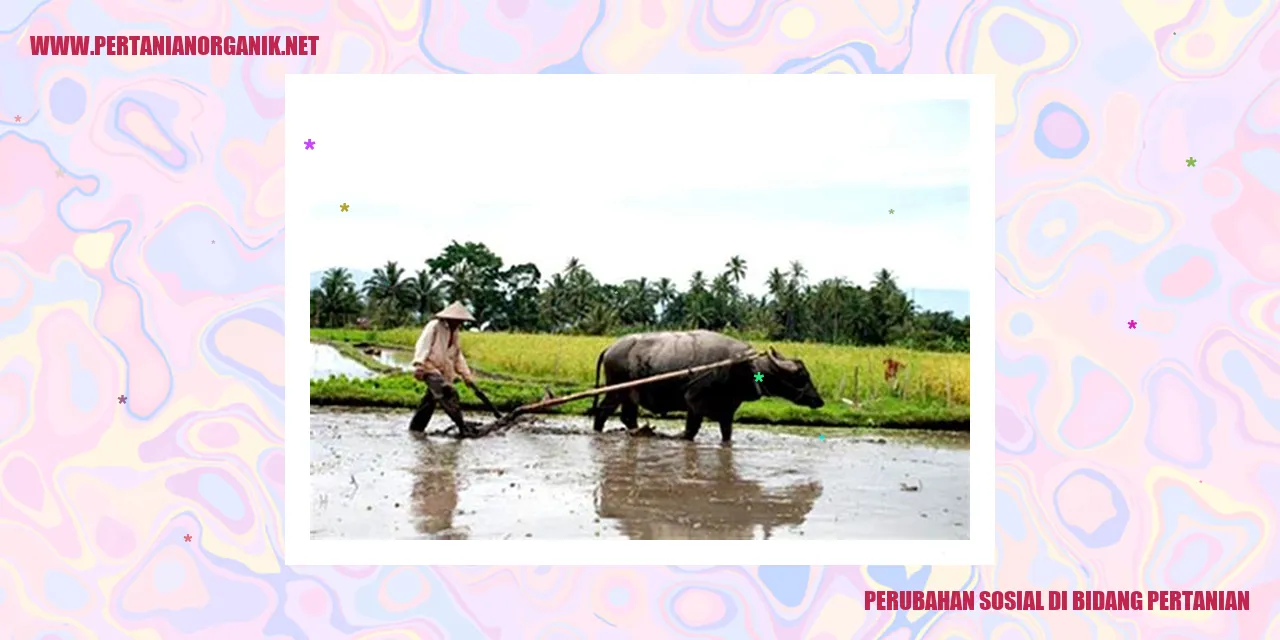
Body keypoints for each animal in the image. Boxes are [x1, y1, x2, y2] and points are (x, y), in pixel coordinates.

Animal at [586, 330, 824, 440]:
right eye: (802, 376)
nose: (819, 400)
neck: (740, 366)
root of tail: (611, 348)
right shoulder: (694, 402)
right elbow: (690, 431)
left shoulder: (728, 410)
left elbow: (727, 434)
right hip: (616, 391)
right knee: (603, 413)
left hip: (629, 395)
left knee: (627, 417)